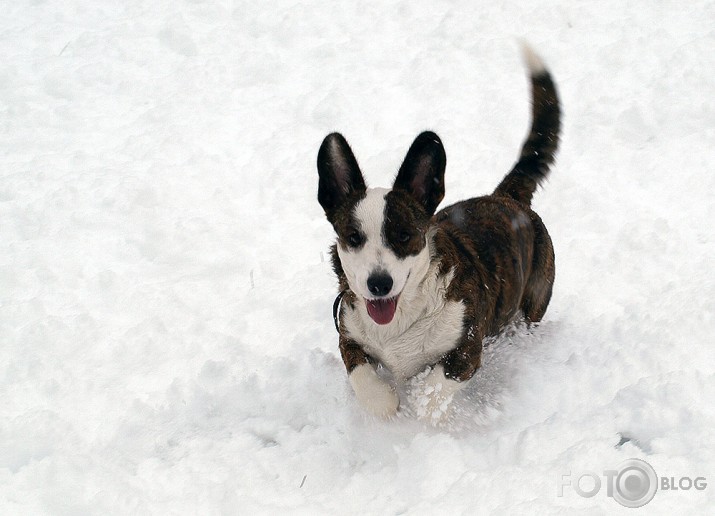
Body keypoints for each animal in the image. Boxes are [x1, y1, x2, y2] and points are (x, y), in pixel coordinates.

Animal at [318, 46, 560, 420]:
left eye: (404, 235)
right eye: (354, 238)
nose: (378, 284)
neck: (400, 318)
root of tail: (506, 196)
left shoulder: (467, 349)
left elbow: (433, 389)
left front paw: (420, 409)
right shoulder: (349, 335)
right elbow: (363, 377)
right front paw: (387, 405)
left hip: (530, 307)